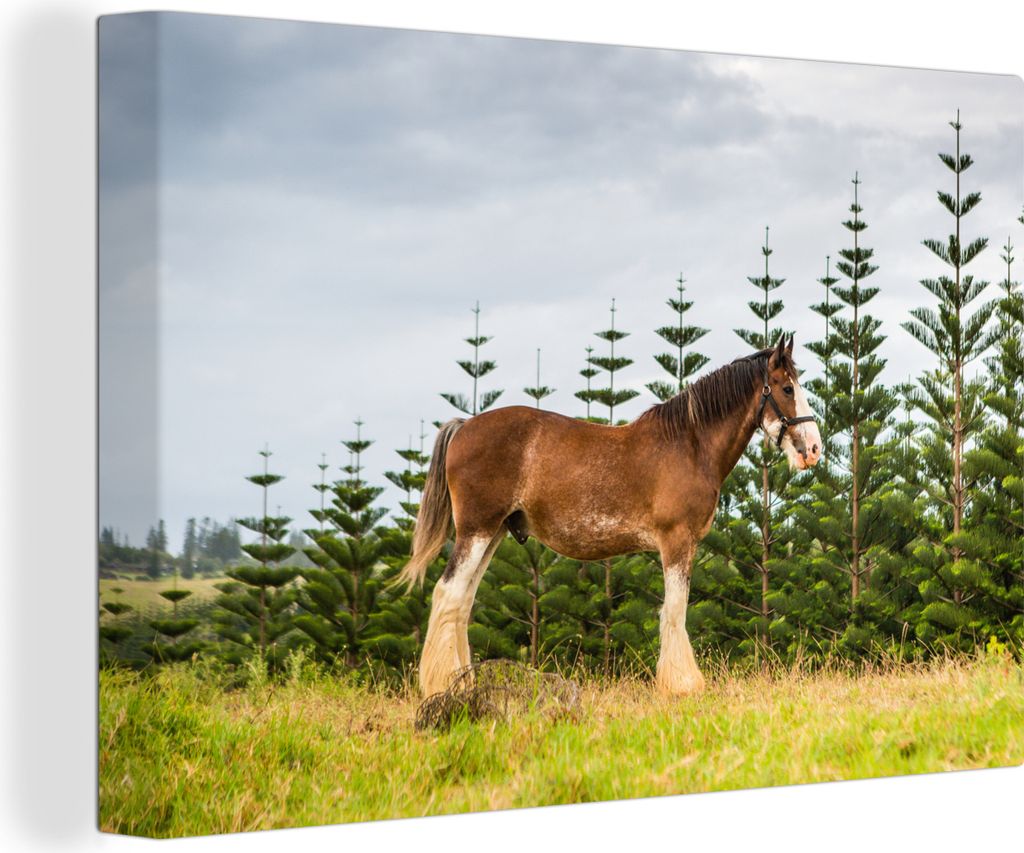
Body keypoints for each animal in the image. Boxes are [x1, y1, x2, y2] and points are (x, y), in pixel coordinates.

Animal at [398, 334, 822, 696]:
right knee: (448, 594)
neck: (689, 443)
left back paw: (462, 683)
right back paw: (440, 684)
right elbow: (674, 611)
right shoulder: (677, 542)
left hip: (494, 533)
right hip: (477, 531)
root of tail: (465, 426)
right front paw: (682, 684)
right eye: (787, 388)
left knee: (462, 603)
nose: (814, 448)